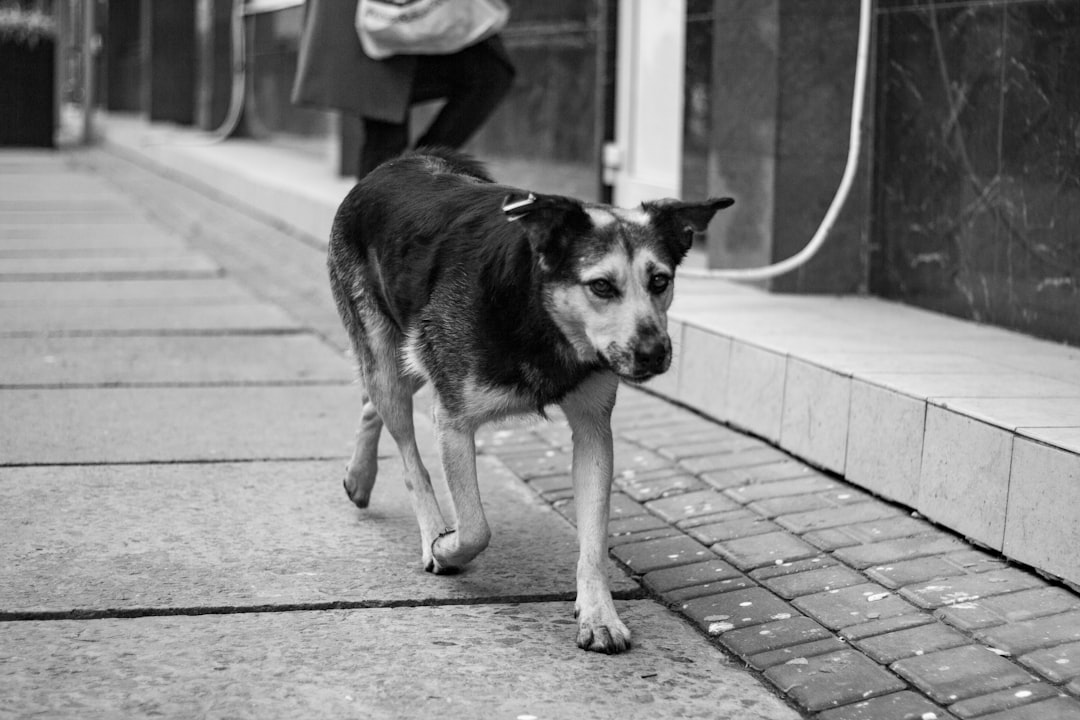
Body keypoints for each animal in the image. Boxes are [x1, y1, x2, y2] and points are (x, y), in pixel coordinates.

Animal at [328, 148, 734, 656]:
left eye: (659, 281)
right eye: (602, 286)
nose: (654, 353)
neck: (539, 313)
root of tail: (404, 160)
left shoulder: (593, 430)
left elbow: (593, 541)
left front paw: (599, 614)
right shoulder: (453, 419)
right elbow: (475, 527)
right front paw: (446, 546)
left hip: (413, 355)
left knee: (371, 403)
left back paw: (359, 478)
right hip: (392, 358)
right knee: (407, 454)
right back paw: (427, 530)